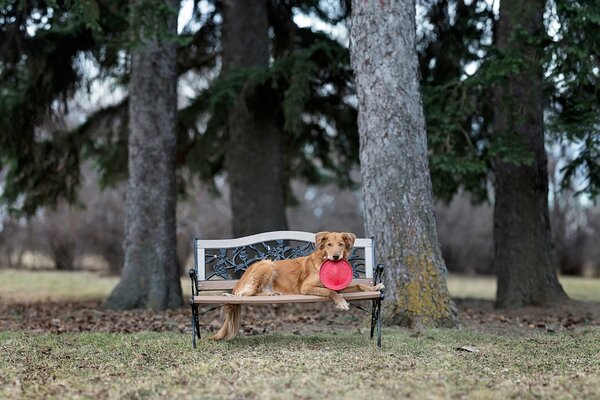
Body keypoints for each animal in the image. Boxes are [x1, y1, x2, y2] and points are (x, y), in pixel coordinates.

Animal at [211, 231, 384, 340]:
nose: (336, 257)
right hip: (267, 264)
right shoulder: (306, 287)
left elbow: (359, 286)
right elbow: (330, 291)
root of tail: (238, 282)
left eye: (341, 244)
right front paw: (341, 302)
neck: (322, 260)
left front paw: (374, 287)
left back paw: (271, 293)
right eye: (329, 244)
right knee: (245, 294)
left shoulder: (341, 286)